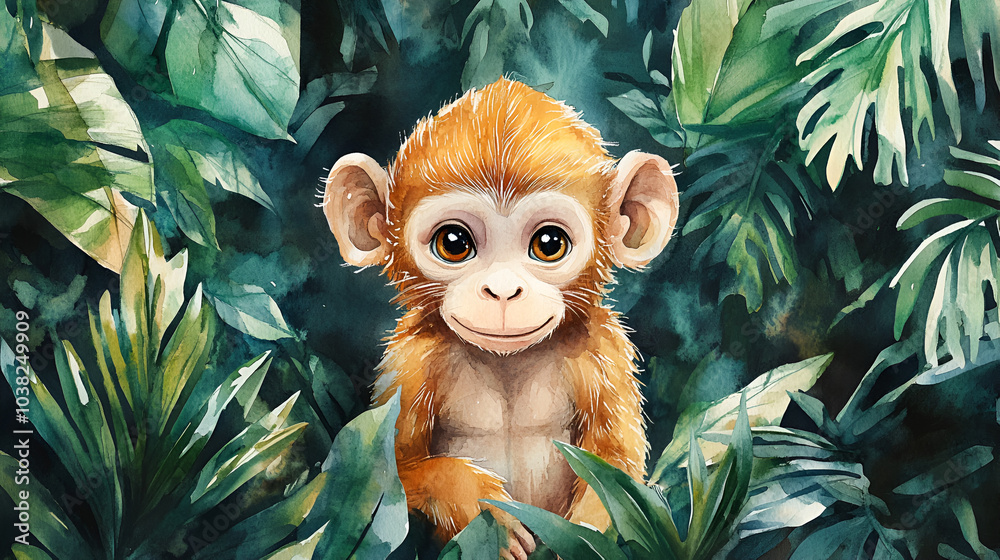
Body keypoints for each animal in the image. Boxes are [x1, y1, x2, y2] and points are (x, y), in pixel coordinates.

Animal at [323, 78, 678, 559]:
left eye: (549, 243)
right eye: (454, 243)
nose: (504, 290)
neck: (508, 362)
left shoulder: (603, 350)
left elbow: (615, 470)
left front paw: (580, 539)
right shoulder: (410, 364)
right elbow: (387, 472)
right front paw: (478, 502)